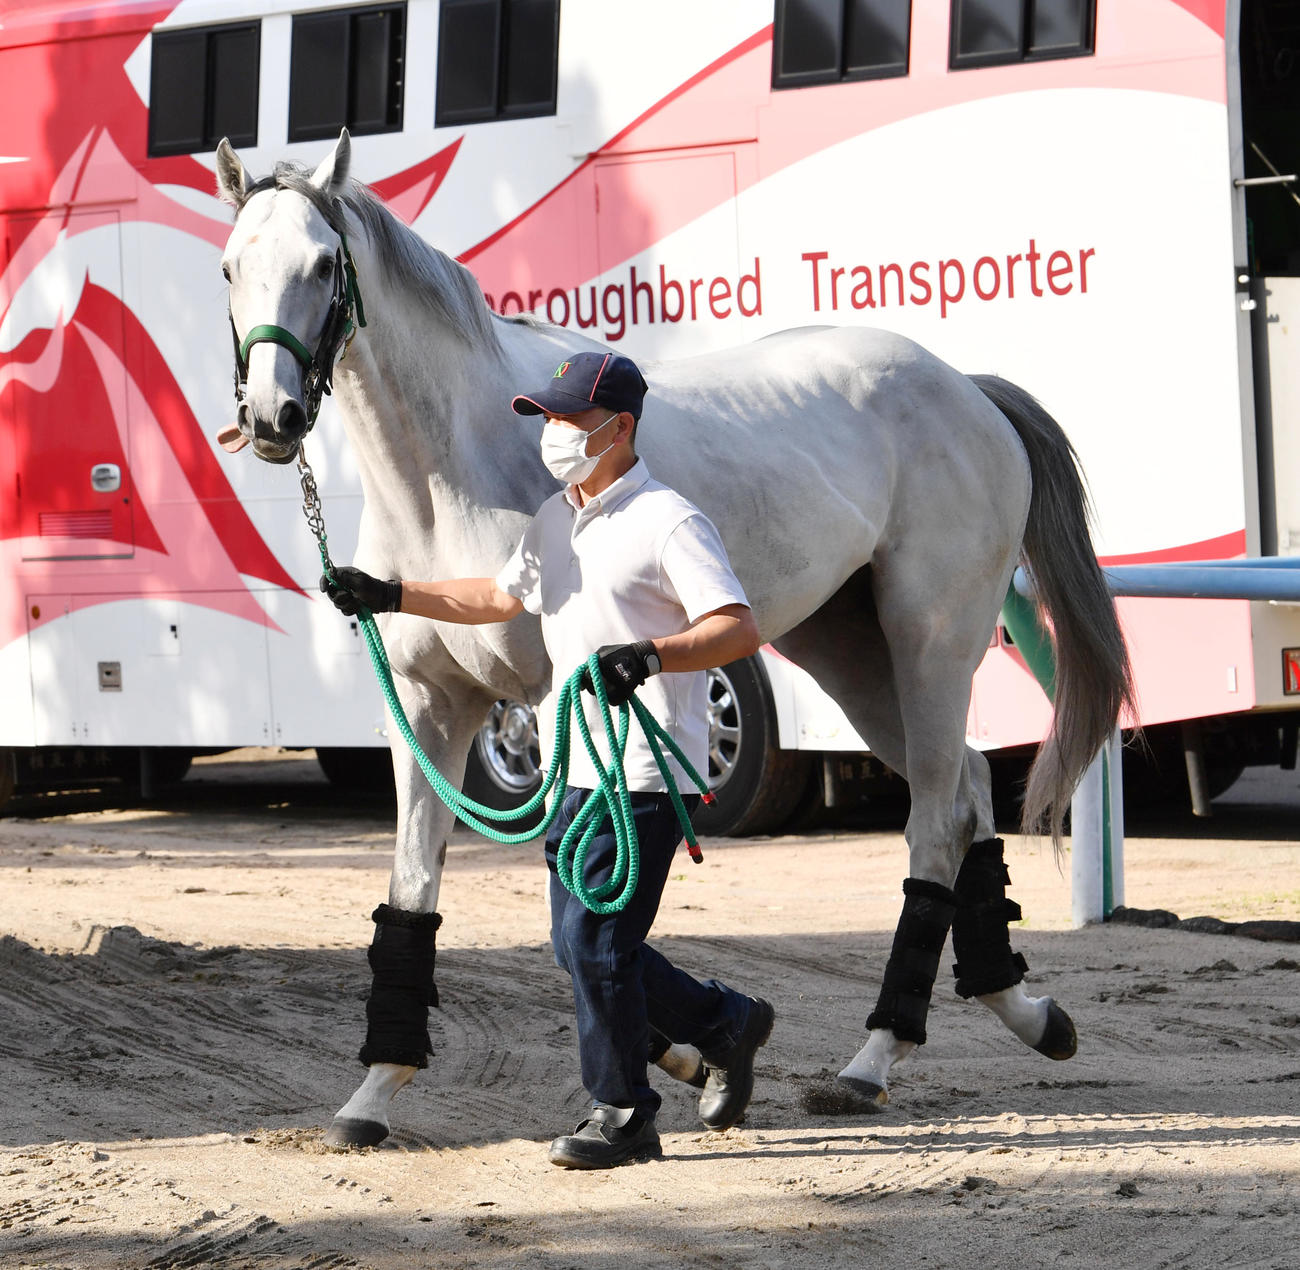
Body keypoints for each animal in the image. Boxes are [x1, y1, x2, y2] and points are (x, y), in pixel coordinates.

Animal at [215, 130, 1133, 1148]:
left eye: (322, 264)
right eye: (230, 268)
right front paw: (375, 1093)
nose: (272, 418)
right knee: (968, 788)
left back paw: (872, 1062)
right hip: (848, 651)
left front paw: (682, 1059)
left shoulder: (556, 711)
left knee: (936, 816)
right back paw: (1026, 1013)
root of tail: (967, 390)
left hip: (932, 641)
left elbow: (581, 906)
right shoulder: (427, 711)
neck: (447, 477)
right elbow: (416, 892)